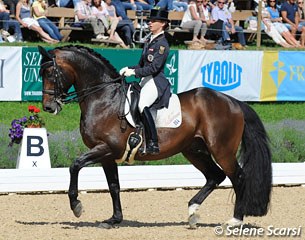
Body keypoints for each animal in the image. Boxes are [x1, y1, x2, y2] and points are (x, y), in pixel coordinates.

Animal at [37, 44, 270, 229]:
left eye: (50, 73)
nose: (48, 107)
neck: (103, 99)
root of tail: (233, 102)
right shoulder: (107, 155)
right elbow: (113, 186)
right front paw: (114, 219)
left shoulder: (106, 148)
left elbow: (75, 165)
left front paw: (76, 206)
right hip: (194, 150)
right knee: (215, 176)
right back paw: (192, 212)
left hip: (222, 150)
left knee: (237, 177)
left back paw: (235, 220)